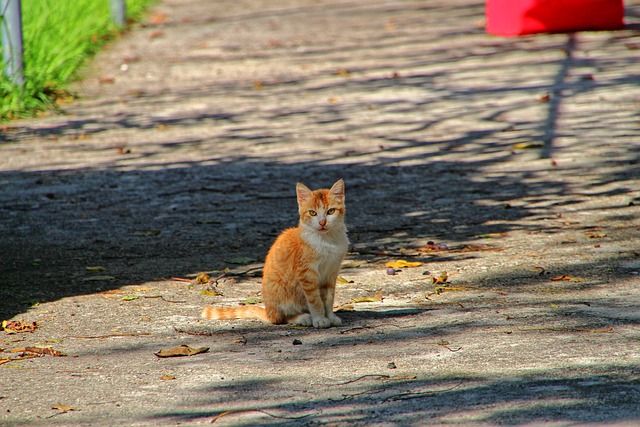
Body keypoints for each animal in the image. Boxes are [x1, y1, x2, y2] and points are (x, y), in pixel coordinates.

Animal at [201, 179, 348, 330]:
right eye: (312, 213)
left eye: (330, 211)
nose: (322, 222)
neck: (326, 240)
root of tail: (268, 311)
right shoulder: (306, 274)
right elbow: (315, 299)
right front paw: (319, 318)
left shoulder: (332, 272)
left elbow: (329, 298)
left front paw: (330, 317)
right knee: (280, 318)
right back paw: (302, 317)